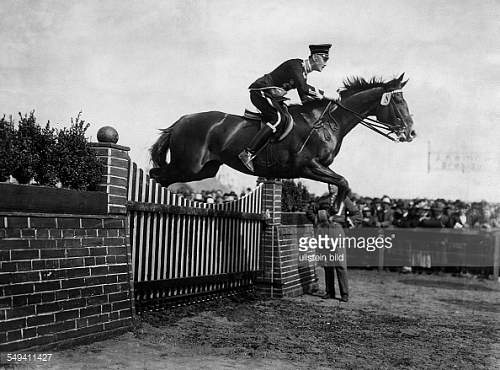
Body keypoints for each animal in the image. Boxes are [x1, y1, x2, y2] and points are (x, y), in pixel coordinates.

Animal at [150, 72, 416, 208]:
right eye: (398, 101)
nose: (411, 133)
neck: (328, 122)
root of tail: (180, 121)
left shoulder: (319, 167)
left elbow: (341, 183)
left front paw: (334, 209)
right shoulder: (307, 166)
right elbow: (344, 181)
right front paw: (335, 211)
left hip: (203, 169)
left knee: (162, 177)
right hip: (188, 165)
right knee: (156, 175)